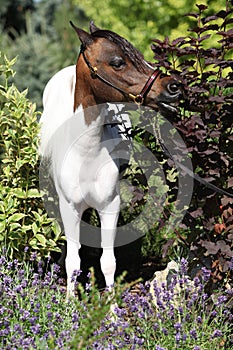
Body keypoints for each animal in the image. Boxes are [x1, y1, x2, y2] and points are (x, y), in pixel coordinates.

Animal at [40, 21, 182, 296]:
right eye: (117, 62)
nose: (174, 87)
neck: (87, 153)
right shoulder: (69, 207)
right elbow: (73, 259)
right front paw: (69, 301)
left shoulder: (110, 206)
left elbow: (108, 262)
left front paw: (113, 304)